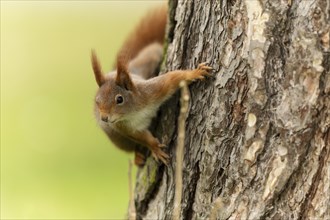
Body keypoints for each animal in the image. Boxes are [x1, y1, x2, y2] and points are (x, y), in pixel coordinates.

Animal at [91, 6, 213, 166]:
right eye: (97, 101)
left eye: (119, 99)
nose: (104, 118)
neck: (133, 112)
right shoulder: (123, 128)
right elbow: (143, 138)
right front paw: (155, 147)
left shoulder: (152, 91)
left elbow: (172, 78)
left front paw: (194, 73)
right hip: (116, 137)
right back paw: (137, 156)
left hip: (151, 57)